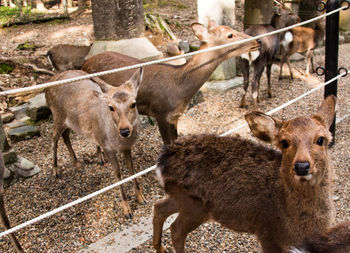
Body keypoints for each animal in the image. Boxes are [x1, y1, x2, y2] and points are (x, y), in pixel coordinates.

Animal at [44, 68, 145, 218]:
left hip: (69, 122)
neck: (119, 142)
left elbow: (131, 169)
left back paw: (78, 163)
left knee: (65, 135)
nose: (125, 130)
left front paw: (141, 198)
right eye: (111, 107)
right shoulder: (107, 147)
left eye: (133, 103)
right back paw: (56, 170)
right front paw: (127, 210)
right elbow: (118, 173)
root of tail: (47, 86)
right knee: (54, 137)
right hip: (57, 116)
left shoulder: (127, 148)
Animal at [82, 20, 260, 145]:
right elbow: (167, 144)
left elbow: (176, 141)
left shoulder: (175, 116)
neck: (180, 91)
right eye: (230, 35)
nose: (257, 41)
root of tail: (84, 63)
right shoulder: (160, 113)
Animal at [152, 95, 336, 253]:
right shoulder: (267, 233)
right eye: (284, 142)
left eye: (321, 139)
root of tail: (162, 160)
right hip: (194, 205)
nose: (302, 166)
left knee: (159, 207)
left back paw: (160, 248)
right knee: (176, 230)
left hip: (181, 196)